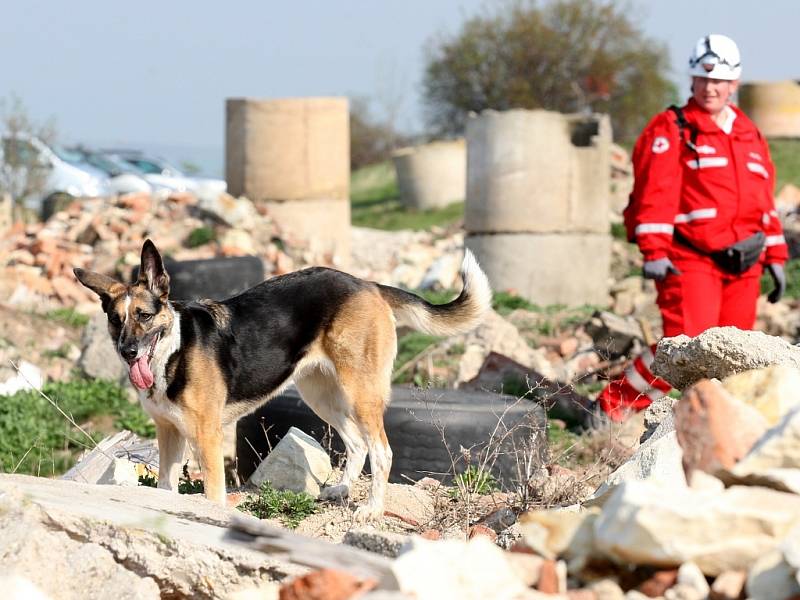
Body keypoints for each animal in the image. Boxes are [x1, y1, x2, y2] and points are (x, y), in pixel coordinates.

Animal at [75, 239, 490, 520]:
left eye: (144, 316)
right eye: (115, 320)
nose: (128, 351)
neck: (174, 349)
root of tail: (366, 284)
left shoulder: (206, 437)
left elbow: (212, 494)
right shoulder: (169, 434)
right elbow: (164, 489)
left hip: (360, 392)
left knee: (381, 450)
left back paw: (371, 509)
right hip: (320, 394)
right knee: (357, 444)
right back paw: (341, 489)